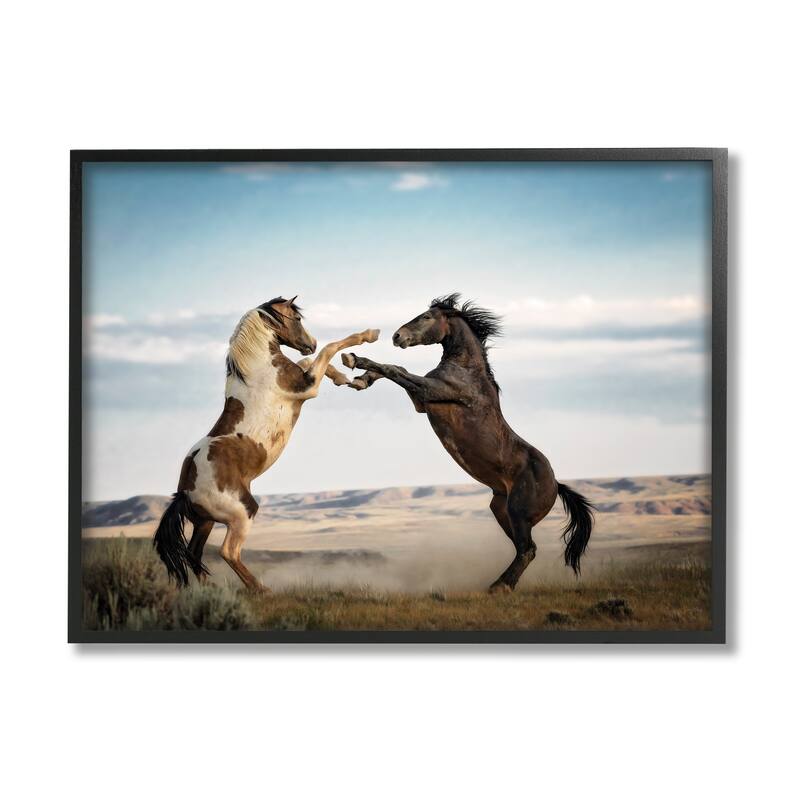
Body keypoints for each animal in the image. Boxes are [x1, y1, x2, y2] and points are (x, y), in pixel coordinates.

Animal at [153, 296, 379, 591]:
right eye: (297, 319)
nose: (311, 341)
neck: (258, 369)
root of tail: (185, 492)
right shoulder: (308, 388)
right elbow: (328, 349)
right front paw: (368, 335)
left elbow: (309, 359)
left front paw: (344, 378)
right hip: (242, 512)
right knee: (228, 551)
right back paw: (260, 590)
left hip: (205, 522)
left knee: (194, 553)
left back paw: (212, 590)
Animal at [341, 293, 594, 592]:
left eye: (427, 317)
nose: (397, 336)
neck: (466, 370)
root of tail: (556, 484)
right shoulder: (422, 402)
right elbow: (396, 370)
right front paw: (361, 379)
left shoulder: (430, 391)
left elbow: (396, 369)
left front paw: (354, 359)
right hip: (501, 509)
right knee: (523, 549)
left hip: (518, 512)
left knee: (528, 549)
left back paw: (499, 587)